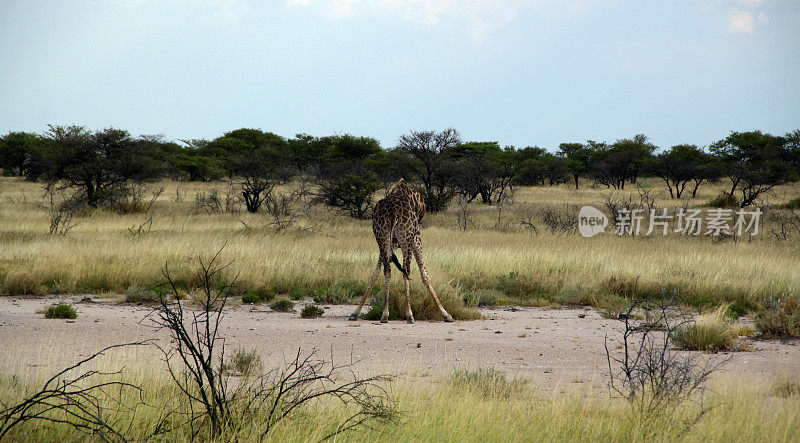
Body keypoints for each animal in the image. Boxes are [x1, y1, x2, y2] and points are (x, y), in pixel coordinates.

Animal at [348, 179, 454, 324]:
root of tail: (393, 212)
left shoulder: (391, 243)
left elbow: (375, 274)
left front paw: (355, 312)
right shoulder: (416, 238)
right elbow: (425, 275)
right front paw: (446, 314)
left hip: (382, 237)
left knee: (387, 269)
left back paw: (385, 315)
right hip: (406, 238)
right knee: (406, 270)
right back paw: (409, 315)